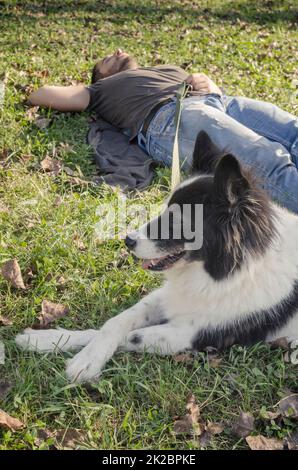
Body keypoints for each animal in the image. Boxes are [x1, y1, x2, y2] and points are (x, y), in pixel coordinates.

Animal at [15, 131, 298, 382]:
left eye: (175, 222)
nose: (127, 241)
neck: (223, 271)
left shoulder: (190, 333)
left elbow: (131, 335)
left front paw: (85, 361)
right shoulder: (169, 298)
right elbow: (114, 323)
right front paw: (47, 340)